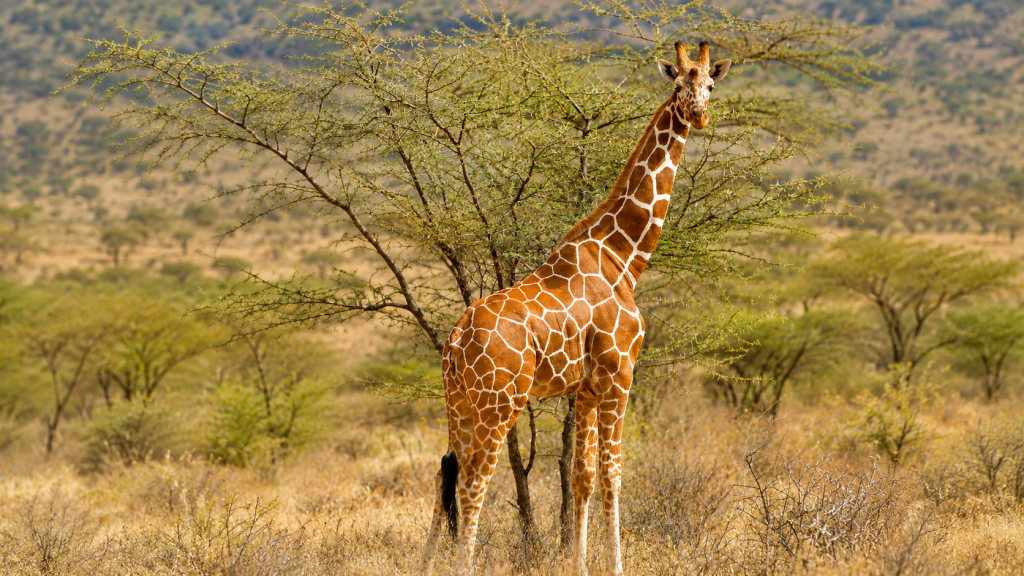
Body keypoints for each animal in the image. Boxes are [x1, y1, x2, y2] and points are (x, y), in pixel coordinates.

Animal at [420, 40, 732, 576]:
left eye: (710, 84)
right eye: (677, 84)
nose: (698, 114)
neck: (623, 255)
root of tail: (456, 341)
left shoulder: (585, 388)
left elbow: (582, 476)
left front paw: (580, 564)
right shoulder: (620, 373)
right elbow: (612, 475)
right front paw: (616, 565)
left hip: (457, 402)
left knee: (446, 474)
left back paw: (422, 565)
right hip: (499, 403)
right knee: (472, 483)